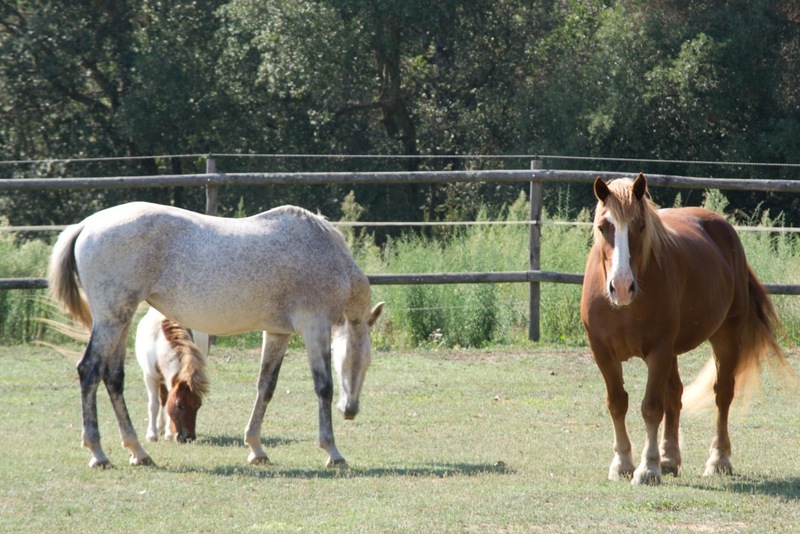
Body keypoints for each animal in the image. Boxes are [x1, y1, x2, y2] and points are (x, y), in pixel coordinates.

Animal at [135, 306, 210, 443]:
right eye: (180, 405)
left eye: (198, 405)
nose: (189, 437)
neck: (159, 345)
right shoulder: (149, 377)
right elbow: (153, 405)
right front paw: (151, 435)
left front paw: (169, 434)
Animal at [580, 173, 795, 485]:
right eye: (602, 226)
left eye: (640, 226)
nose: (621, 286)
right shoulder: (602, 352)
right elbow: (618, 403)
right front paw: (622, 464)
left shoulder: (659, 350)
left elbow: (651, 407)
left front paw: (648, 468)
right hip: (672, 352)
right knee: (675, 395)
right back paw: (669, 458)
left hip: (724, 337)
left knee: (722, 395)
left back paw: (718, 460)